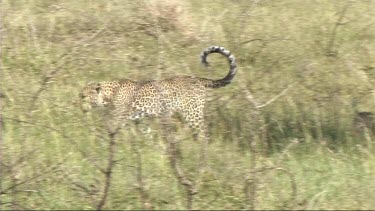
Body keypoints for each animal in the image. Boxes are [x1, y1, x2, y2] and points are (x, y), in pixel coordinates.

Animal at [79, 46, 238, 135]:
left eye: (84, 97)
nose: (81, 108)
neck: (108, 94)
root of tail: (198, 78)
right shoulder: (141, 120)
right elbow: (146, 134)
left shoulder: (118, 118)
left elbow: (108, 130)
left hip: (192, 114)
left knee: (204, 132)